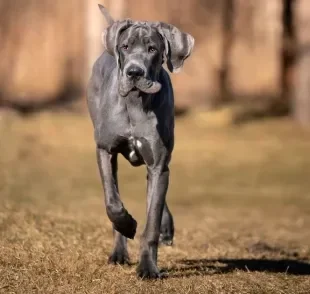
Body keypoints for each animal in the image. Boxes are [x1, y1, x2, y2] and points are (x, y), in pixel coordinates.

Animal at [86, 5, 194, 280]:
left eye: (152, 49)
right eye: (125, 47)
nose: (134, 72)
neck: (135, 103)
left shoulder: (158, 164)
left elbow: (152, 219)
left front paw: (148, 267)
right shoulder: (105, 151)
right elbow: (112, 202)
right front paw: (127, 225)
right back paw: (119, 252)